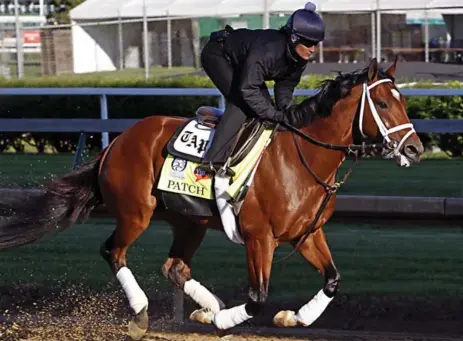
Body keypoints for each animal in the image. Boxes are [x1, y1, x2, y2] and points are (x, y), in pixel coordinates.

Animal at [0, 59, 424, 340]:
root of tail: (117, 142)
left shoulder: (306, 234)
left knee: (174, 267)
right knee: (114, 252)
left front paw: (293, 318)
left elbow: (333, 279)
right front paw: (225, 322)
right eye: (383, 104)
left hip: (189, 222)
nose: (415, 149)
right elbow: (257, 298)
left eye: (402, 101)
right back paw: (143, 314)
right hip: (137, 213)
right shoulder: (259, 239)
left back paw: (208, 307)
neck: (301, 159)